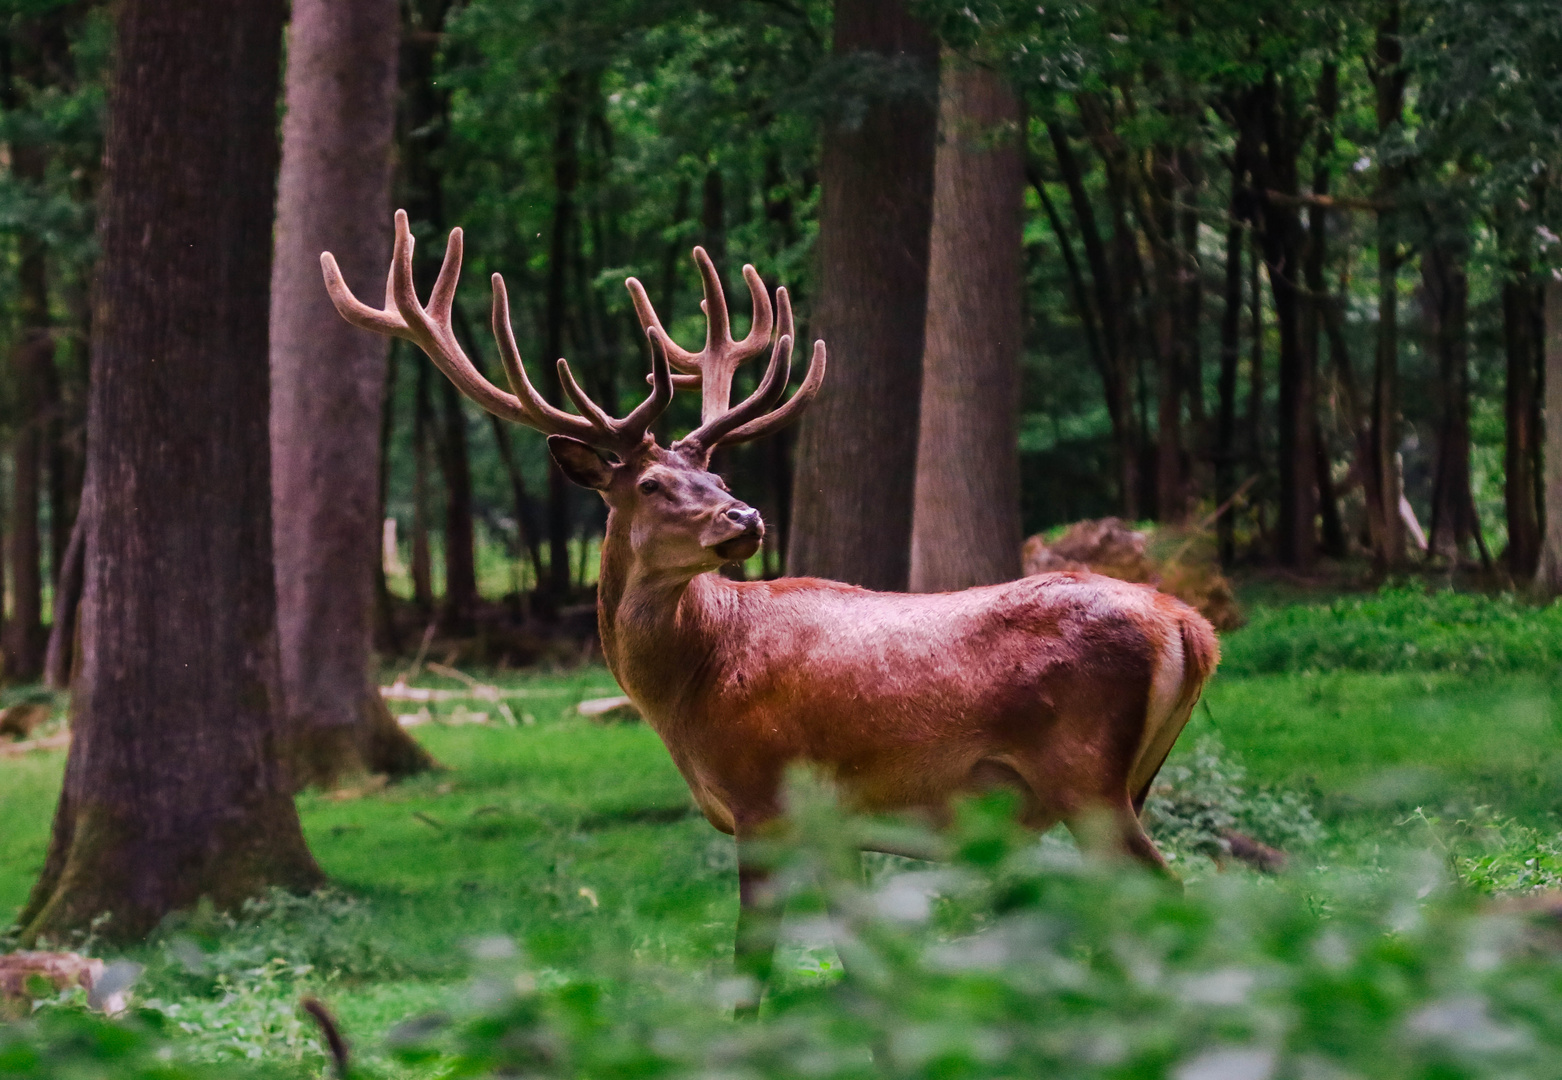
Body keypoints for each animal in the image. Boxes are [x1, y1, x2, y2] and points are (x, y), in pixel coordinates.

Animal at [320, 214, 1218, 1012]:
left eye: (715, 475)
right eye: (656, 483)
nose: (746, 518)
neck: (692, 685)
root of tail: (1191, 626)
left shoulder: (763, 800)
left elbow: (750, 974)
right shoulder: (834, 825)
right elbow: (866, 966)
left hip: (1084, 774)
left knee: (1182, 906)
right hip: (1132, 779)